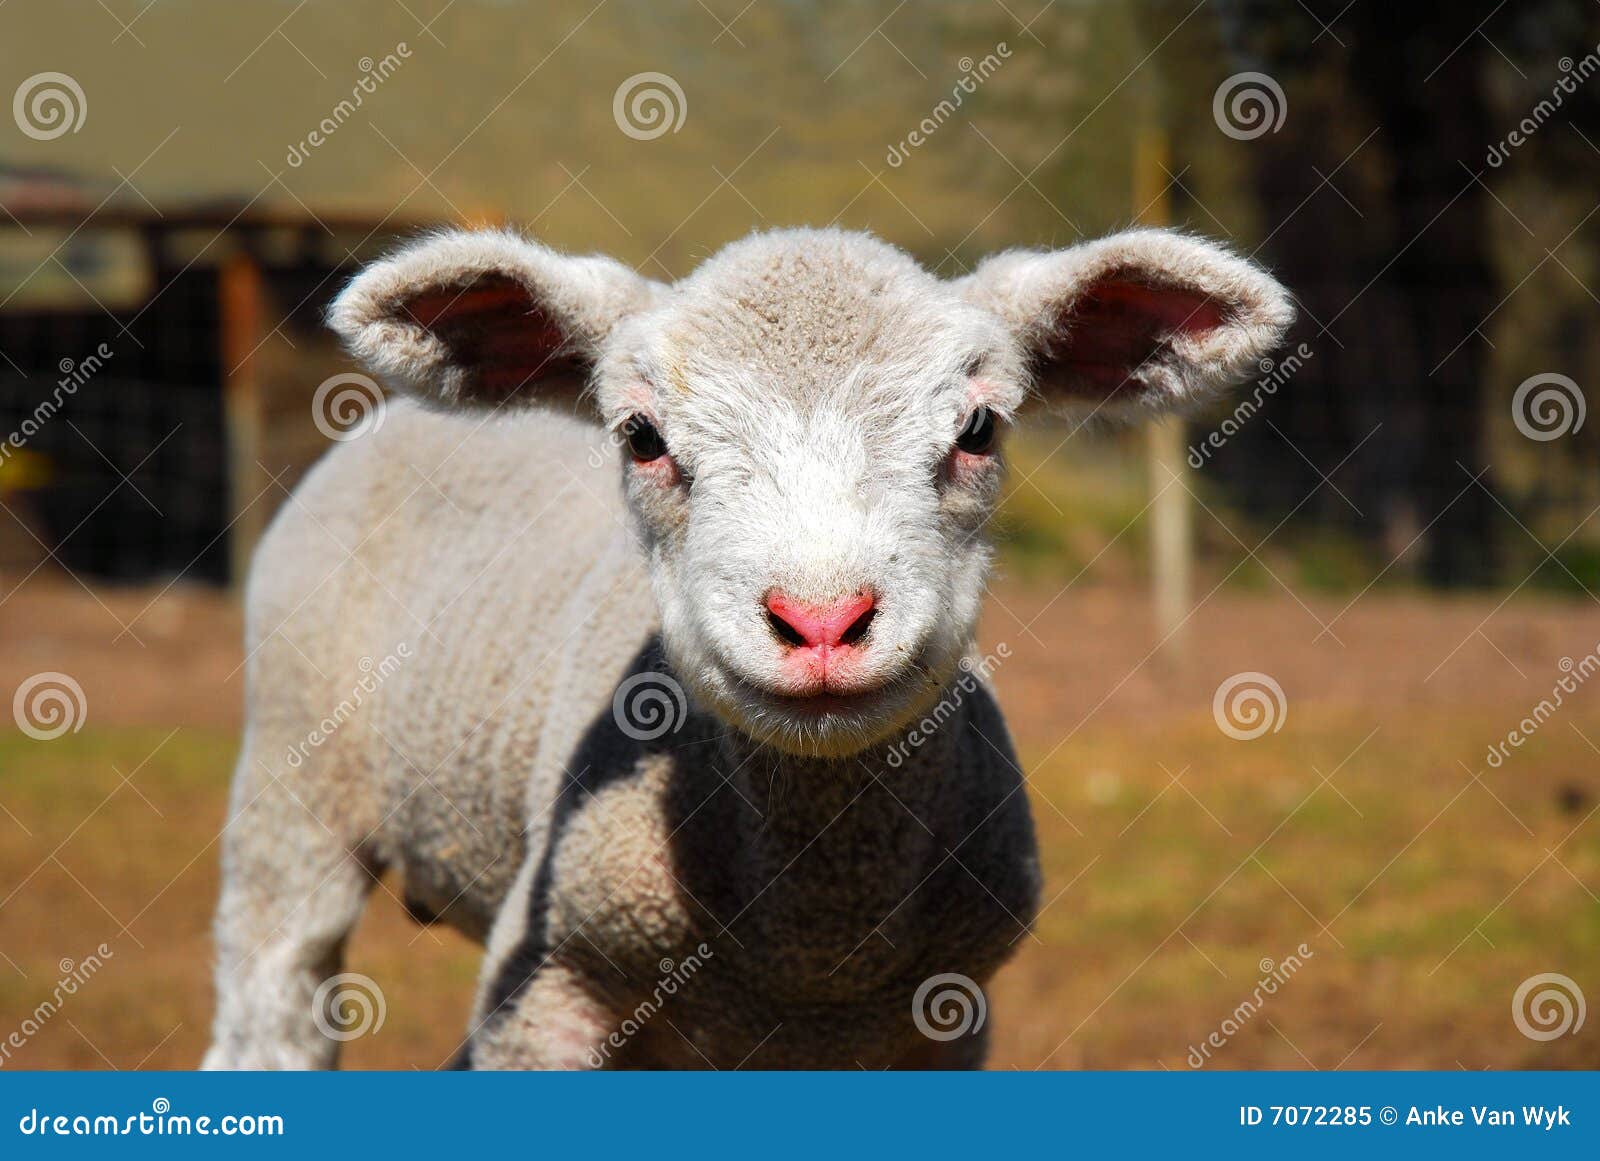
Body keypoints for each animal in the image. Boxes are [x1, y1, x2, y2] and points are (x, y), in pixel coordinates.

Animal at [201, 225, 1292, 1069]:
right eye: (641, 437)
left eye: (980, 428)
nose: (822, 621)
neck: (806, 948)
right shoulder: (548, 989)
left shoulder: (941, 1018)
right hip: (292, 784)